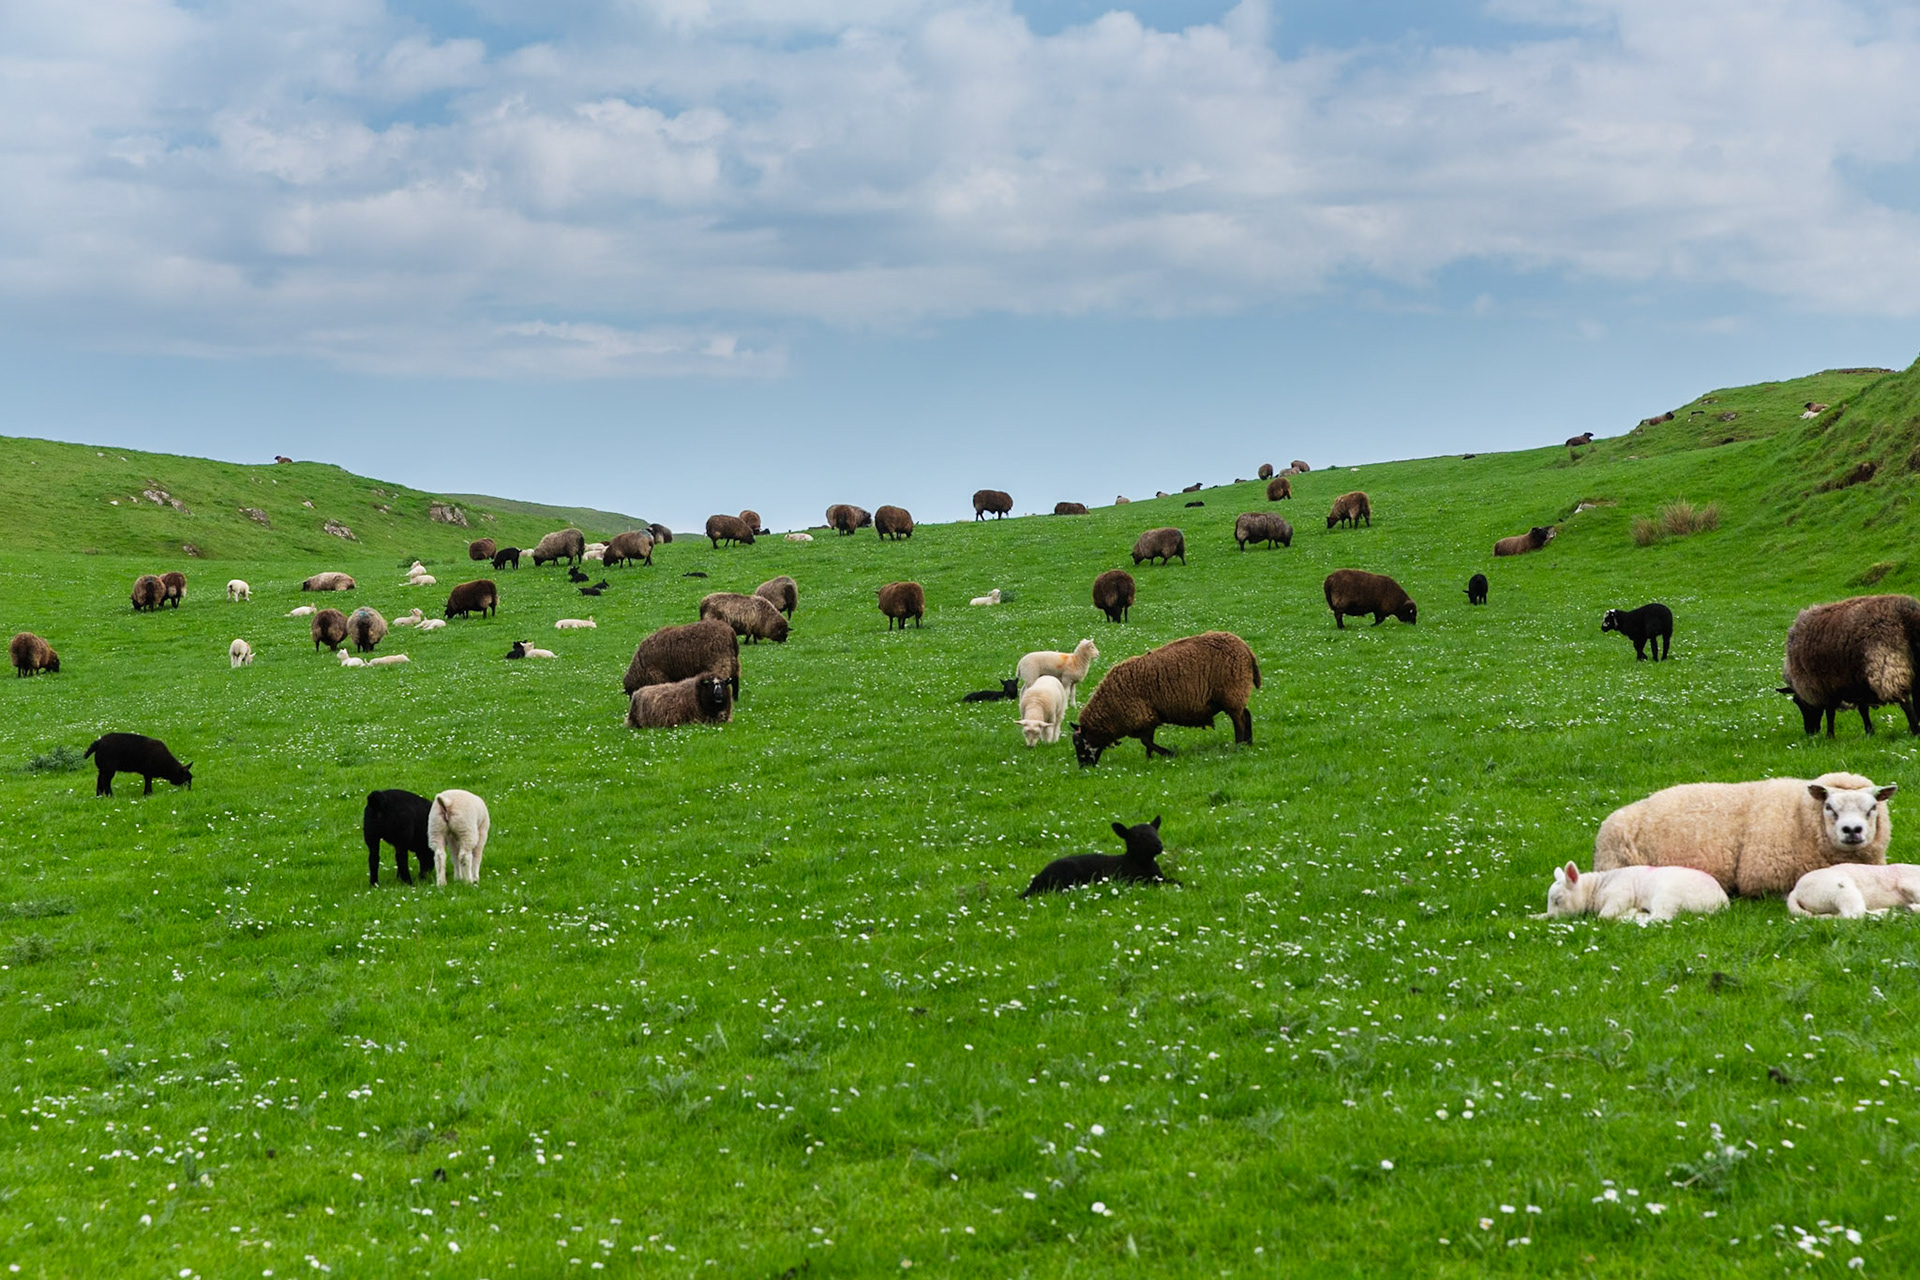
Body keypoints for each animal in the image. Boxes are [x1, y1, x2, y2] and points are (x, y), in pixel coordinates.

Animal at [1020, 817, 1178, 896]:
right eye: (1139, 836)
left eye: (1156, 832)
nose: (1159, 845)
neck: (1142, 864)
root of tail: (1037, 879)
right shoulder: (1131, 880)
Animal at [1070, 631, 1259, 766]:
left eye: (1079, 744)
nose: (1083, 768)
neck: (1109, 710)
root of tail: (1246, 649)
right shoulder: (1149, 716)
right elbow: (1148, 742)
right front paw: (1149, 759)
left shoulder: (1141, 716)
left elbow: (1146, 741)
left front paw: (1169, 753)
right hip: (1235, 695)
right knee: (1246, 715)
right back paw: (1249, 744)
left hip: (1232, 693)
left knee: (1239, 721)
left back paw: (1239, 745)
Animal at [1541, 862, 1728, 923]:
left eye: (1558, 900)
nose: (1551, 917)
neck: (1596, 888)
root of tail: (1721, 902)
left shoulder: (1620, 895)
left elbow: (1604, 916)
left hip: (1666, 895)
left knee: (1660, 918)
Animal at [1778, 594, 1920, 736]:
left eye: (1798, 702)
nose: (1810, 731)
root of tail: (1909, 613)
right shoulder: (1856, 683)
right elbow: (1863, 709)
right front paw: (1869, 732)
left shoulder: (1826, 686)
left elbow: (1830, 712)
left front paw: (1830, 735)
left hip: (1887, 663)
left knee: (1905, 701)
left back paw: (1914, 731)